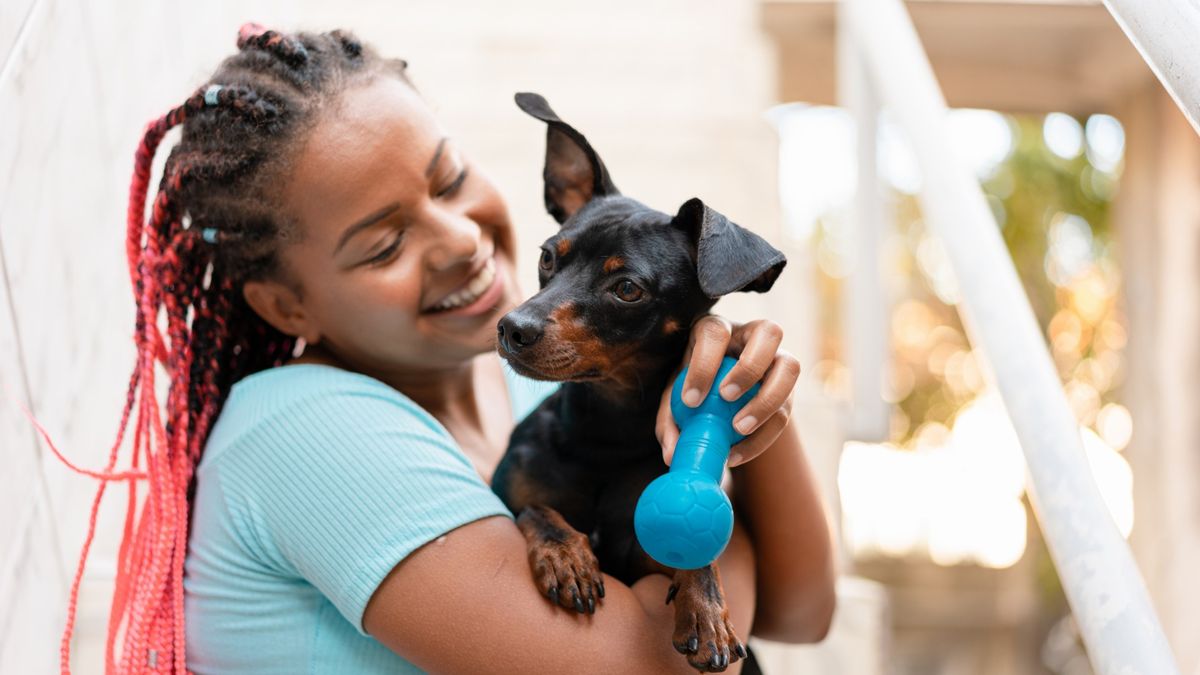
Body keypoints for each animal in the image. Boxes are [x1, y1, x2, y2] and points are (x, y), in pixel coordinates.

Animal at [489, 91, 782, 667]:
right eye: (546, 257)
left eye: (627, 289)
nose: (513, 328)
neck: (607, 428)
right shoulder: (507, 491)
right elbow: (538, 509)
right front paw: (567, 555)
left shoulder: (642, 553)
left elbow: (696, 556)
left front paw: (706, 610)